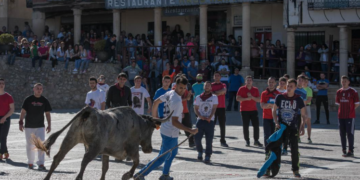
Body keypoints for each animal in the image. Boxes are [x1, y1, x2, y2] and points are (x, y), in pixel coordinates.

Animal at [31, 106, 172, 179]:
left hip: (70, 138)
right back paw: (79, 177)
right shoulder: (132, 148)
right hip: (94, 147)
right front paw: (127, 175)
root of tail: (89, 110)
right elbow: (136, 162)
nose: (149, 149)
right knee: (84, 161)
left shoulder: (105, 152)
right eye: (152, 130)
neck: (137, 123)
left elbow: (105, 168)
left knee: (57, 158)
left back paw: (47, 177)